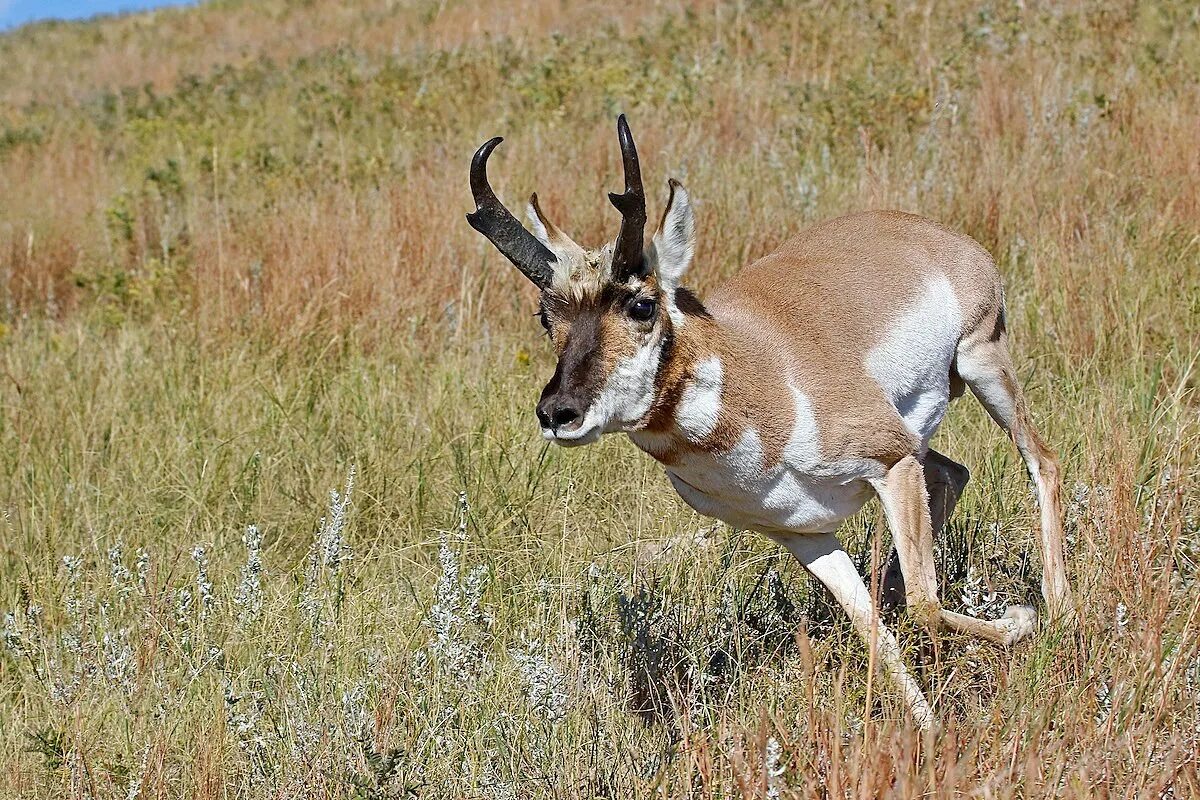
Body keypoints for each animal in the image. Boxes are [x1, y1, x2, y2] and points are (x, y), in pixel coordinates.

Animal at [463, 117, 1075, 724]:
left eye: (641, 305)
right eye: (547, 316)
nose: (556, 413)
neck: (760, 378)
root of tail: (932, 233)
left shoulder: (891, 460)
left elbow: (925, 604)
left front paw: (1019, 621)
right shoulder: (806, 535)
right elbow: (874, 630)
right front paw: (924, 728)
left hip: (982, 361)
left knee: (1041, 461)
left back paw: (1058, 610)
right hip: (929, 433)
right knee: (953, 474)